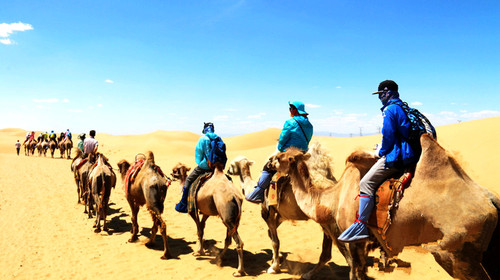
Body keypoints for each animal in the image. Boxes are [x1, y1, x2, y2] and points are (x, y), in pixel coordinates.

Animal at [228, 142, 340, 276]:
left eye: (232, 164)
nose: (228, 171)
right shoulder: (281, 215)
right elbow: (270, 234)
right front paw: (278, 258)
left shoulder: (267, 212)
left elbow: (275, 241)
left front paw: (274, 267)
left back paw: (308, 274)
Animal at [272, 135, 500, 278]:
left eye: (281, 157)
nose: (270, 162)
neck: (332, 199)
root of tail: (490, 200)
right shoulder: (364, 242)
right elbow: (360, 270)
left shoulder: (354, 238)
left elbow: (355, 271)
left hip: (455, 248)